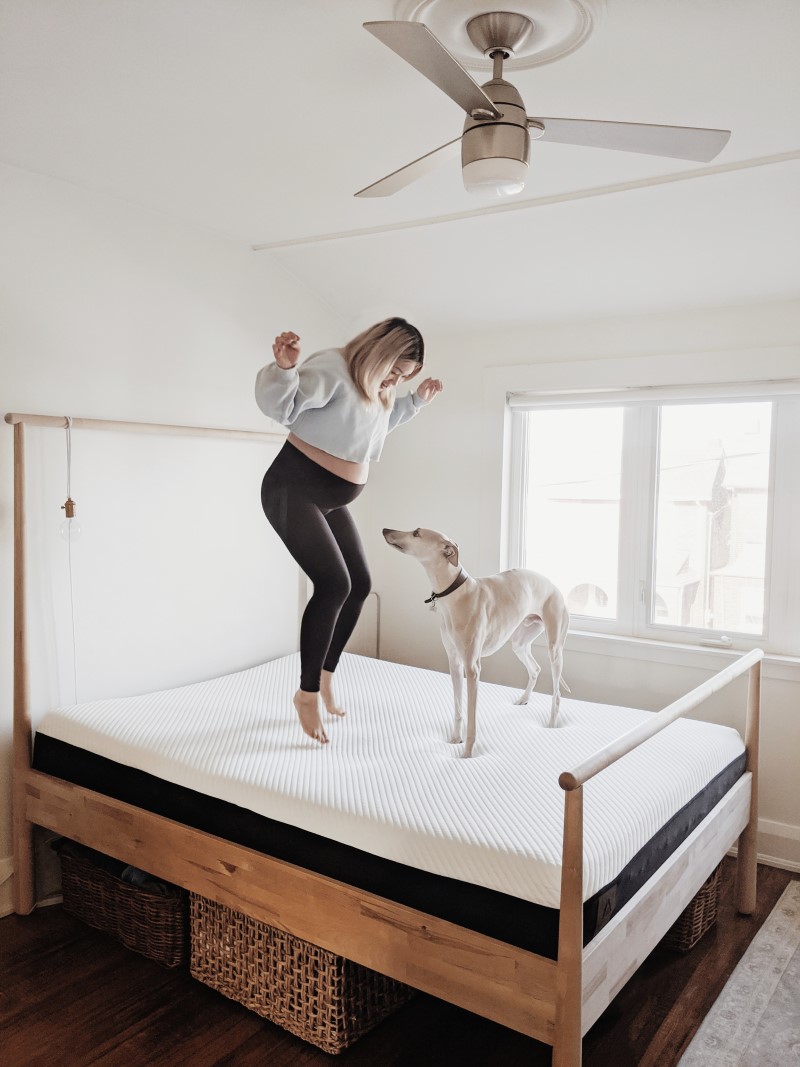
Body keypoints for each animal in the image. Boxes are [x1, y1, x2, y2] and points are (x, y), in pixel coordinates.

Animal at [384, 527, 567, 759]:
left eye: (416, 532)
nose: (385, 530)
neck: (455, 594)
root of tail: (553, 584)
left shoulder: (472, 668)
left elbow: (471, 717)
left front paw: (467, 753)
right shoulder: (454, 663)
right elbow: (458, 708)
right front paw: (455, 740)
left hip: (555, 648)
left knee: (557, 693)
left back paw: (551, 725)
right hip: (520, 642)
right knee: (535, 668)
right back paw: (523, 699)